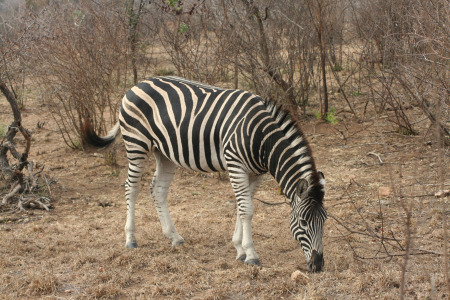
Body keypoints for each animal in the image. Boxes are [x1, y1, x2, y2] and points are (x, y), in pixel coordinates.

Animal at [85, 75, 326, 272]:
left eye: (324, 221)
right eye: (303, 222)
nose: (318, 266)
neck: (263, 139)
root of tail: (136, 85)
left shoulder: (255, 173)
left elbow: (242, 207)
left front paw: (239, 249)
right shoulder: (235, 163)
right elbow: (247, 210)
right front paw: (251, 254)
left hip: (165, 153)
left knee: (158, 190)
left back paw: (174, 237)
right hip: (137, 144)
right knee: (132, 188)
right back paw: (131, 239)